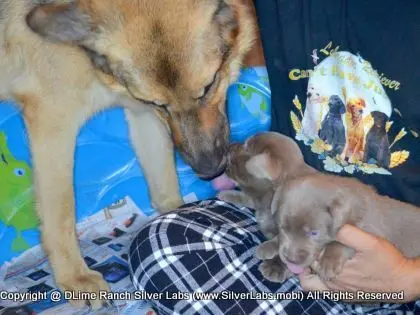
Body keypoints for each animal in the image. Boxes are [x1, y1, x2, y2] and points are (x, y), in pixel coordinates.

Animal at [0, 0, 254, 312]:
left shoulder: (141, 113)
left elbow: (165, 185)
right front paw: (74, 276)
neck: (90, 62)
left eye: (209, 86)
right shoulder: (53, 124)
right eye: (161, 104)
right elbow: (61, 213)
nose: (209, 171)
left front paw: (178, 213)